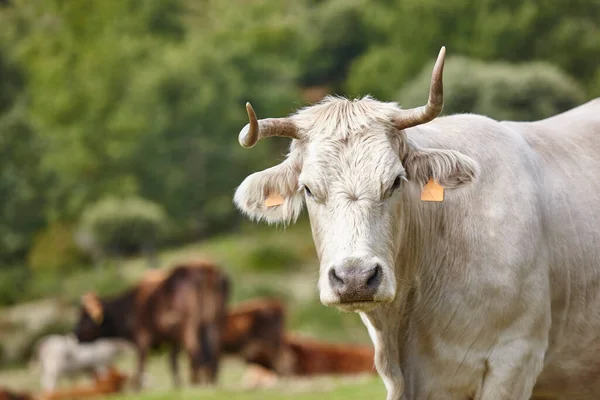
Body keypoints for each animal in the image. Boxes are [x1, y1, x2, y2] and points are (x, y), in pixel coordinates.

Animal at [71, 260, 230, 390]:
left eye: (85, 316)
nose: (75, 333)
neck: (129, 306)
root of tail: (205, 268)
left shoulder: (143, 337)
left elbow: (141, 362)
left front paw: (137, 388)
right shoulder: (172, 339)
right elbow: (172, 362)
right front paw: (178, 386)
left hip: (190, 325)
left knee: (196, 352)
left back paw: (198, 383)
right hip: (214, 320)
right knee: (213, 352)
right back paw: (211, 381)